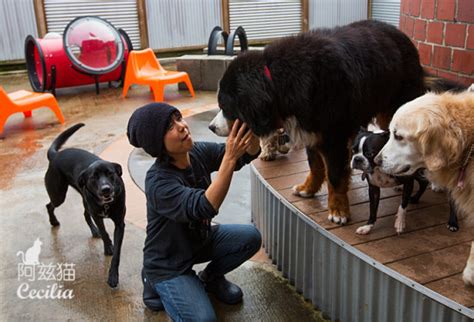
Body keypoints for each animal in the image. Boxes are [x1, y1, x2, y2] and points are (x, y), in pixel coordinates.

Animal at [44, 123, 125, 286]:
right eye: (94, 177)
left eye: (110, 173)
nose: (106, 189)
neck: (106, 205)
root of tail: (55, 155)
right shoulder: (98, 216)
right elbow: (105, 233)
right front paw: (108, 247)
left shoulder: (120, 223)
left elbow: (117, 254)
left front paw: (113, 275)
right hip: (59, 195)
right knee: (49, 205)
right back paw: (54, 222)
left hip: (83, 199)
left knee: (84, 214)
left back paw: (93, 231)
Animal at [211, 20, 444, 225]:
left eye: (224, 105)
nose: (211, 127)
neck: (279, 83)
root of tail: (403, 37)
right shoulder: (311, 131)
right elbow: (315, 166)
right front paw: (308, 189)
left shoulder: (334, 136)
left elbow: (334, 175)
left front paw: (338, 210)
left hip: (394, 107)